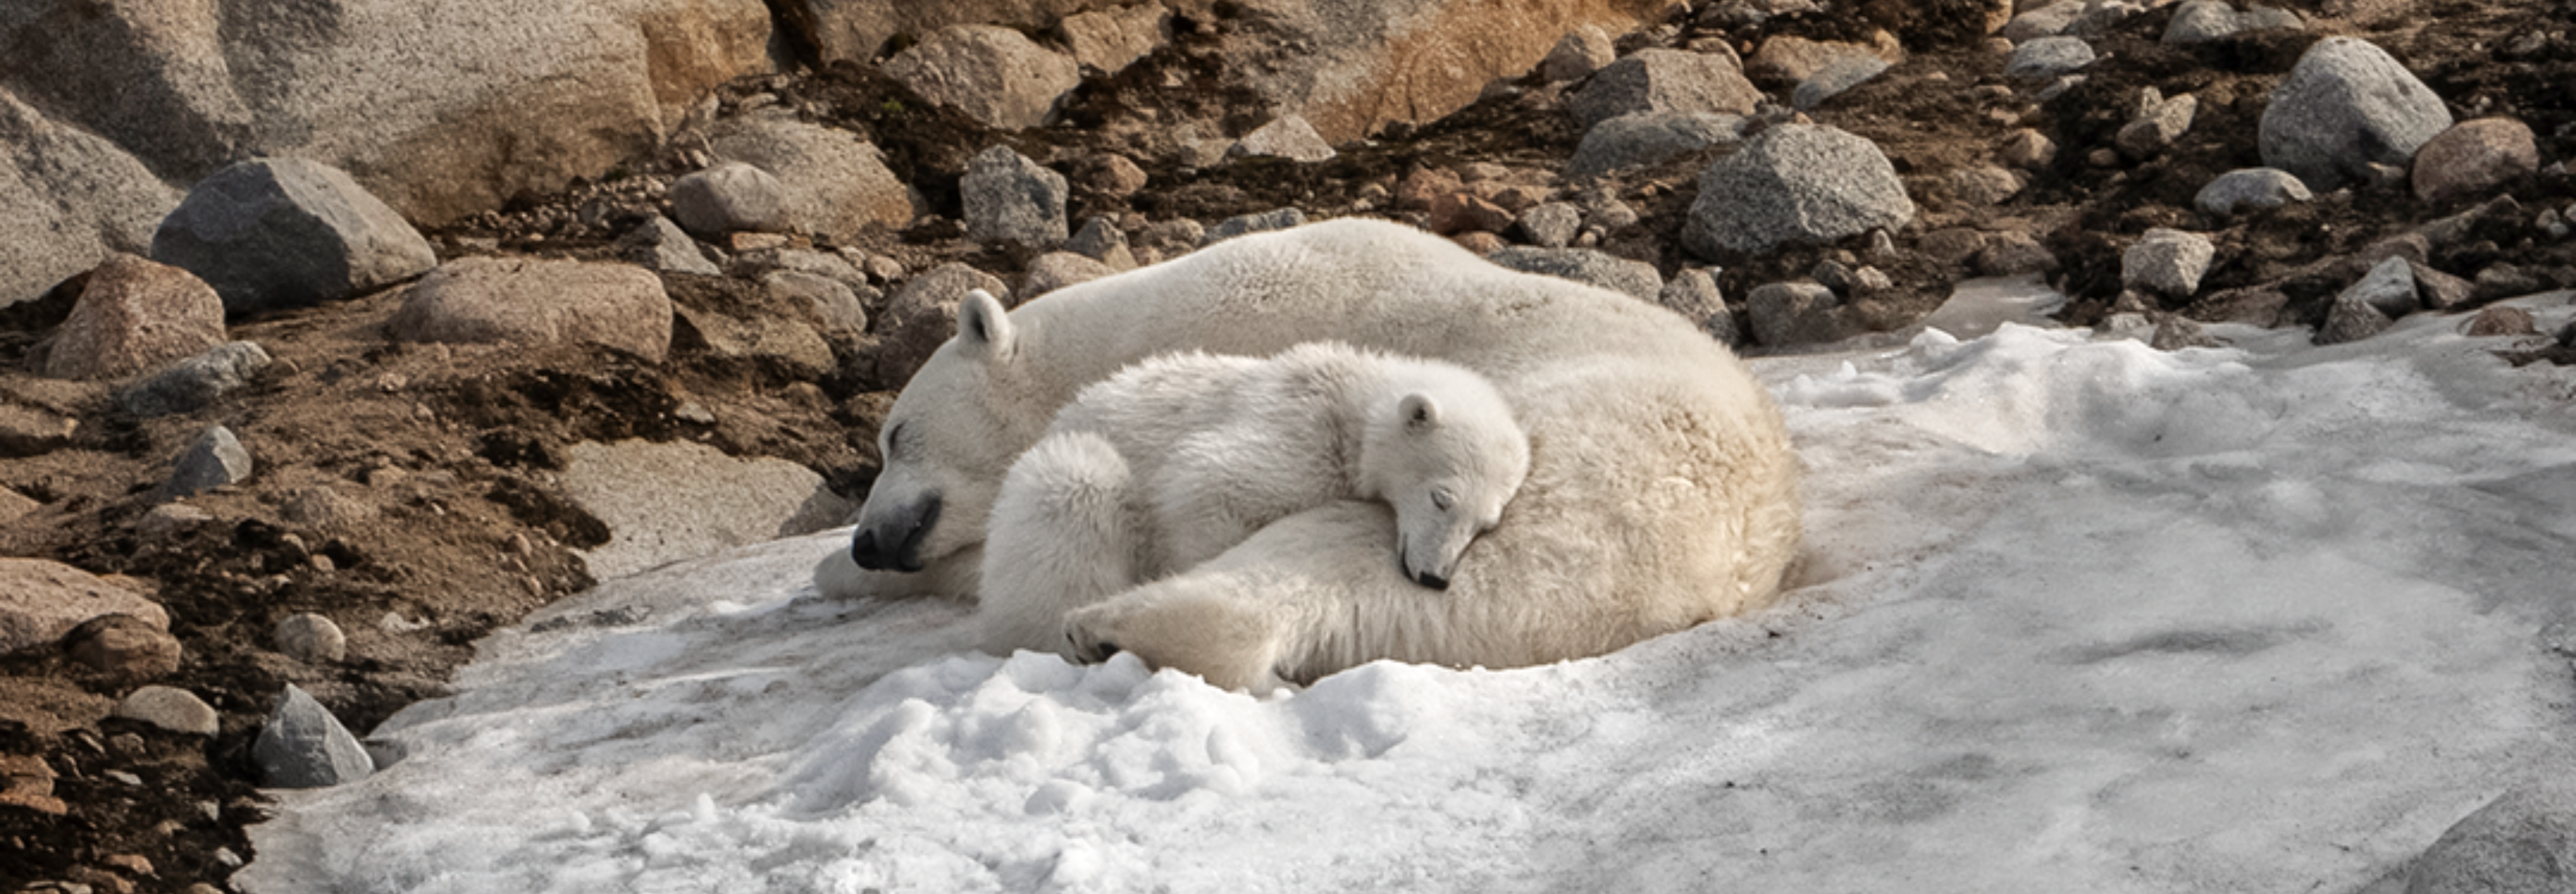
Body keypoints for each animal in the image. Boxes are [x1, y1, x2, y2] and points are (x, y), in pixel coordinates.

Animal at [975, 340, 1533, 659]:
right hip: (1062, 478)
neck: (1348, 407)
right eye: (1442, 497)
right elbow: (1204, 485)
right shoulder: (1294, 435)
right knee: (1079, 486)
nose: (1435, 577)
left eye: (1486, 523)